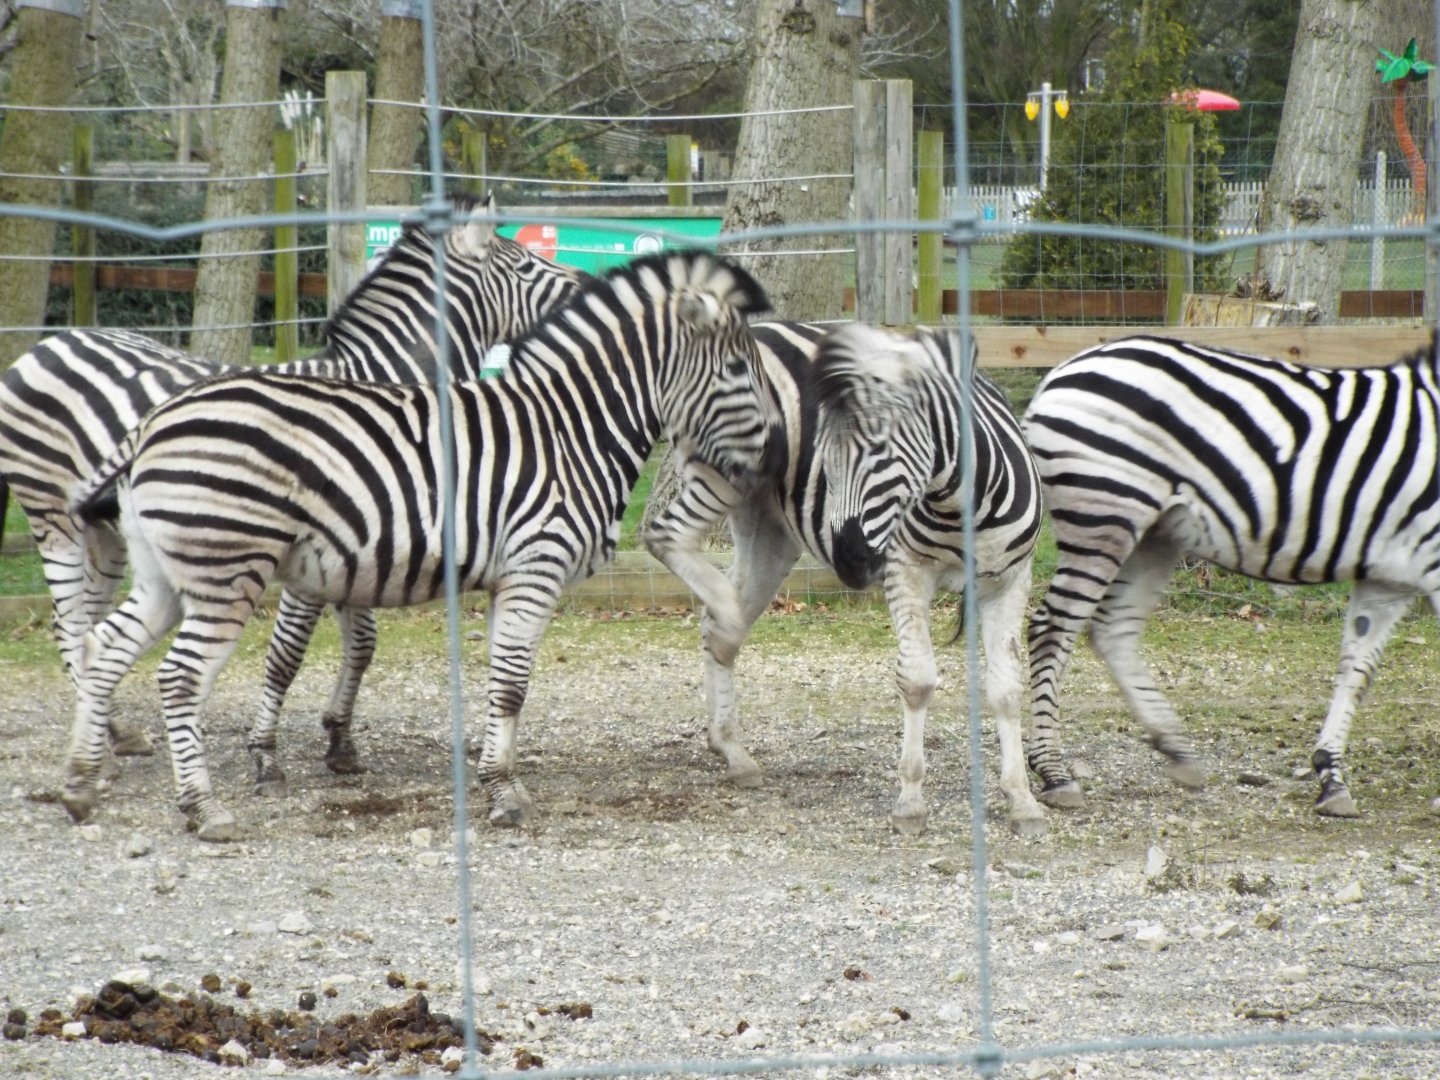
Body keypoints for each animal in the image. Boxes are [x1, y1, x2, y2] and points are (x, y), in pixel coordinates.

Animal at [0, 193, 583, 789]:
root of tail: (48, 345)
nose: (585, 281)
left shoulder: (366, 547)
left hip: (109, 534)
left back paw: (113, 731)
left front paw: (340, 740)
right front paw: (265, 753)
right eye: (525, 265)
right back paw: (102, 748)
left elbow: (363, 644)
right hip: (54, 517)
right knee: (70, 621)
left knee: (88, 624)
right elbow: (288, 651)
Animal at [62, 250, 778, 841]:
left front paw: (494, 778)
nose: (776, 448)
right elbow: (512, 686)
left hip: (164, 574)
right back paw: (202, 809)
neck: (568, 426)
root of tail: (155, 422)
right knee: (178, 677)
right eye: (737, 368)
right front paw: (505, 796)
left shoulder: (507, 578)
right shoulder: (535, 568)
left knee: (104, 648)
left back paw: (81, 783)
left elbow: (501, 683)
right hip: (225, 572)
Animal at [668, 320, 1045, 836]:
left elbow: (1006, 689)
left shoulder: (1010, 580)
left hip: (769, 532)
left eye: (881, 450)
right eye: (824, 460)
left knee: (721, 628)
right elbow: (917, 681)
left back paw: (730, 749)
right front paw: (910, 801)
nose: (849, 559)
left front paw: (1021, 799)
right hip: (721, 479)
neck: (960, 503)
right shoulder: (906, 572)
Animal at [1021, 333, 1440, 818]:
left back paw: (1175, 749)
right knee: (1052, 628)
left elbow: (1356, 672)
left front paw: (1330, 776)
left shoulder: (1388, 579)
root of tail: (1061, 370)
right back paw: (1055, 772)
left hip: (1155, 532)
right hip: (1105, 513)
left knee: (1112, 630)